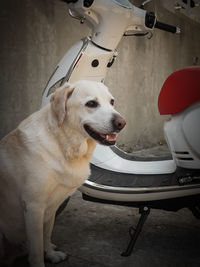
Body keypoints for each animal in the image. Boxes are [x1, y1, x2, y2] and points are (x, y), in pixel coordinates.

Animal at [0, 80, 125, 266]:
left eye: (112, 102)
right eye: (91, 103)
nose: (121, 123)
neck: (64, 143)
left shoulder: (51, 206)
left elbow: (46, 234)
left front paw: (51, 254)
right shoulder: (34, 206)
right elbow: (36, 249)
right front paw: (40, 261)